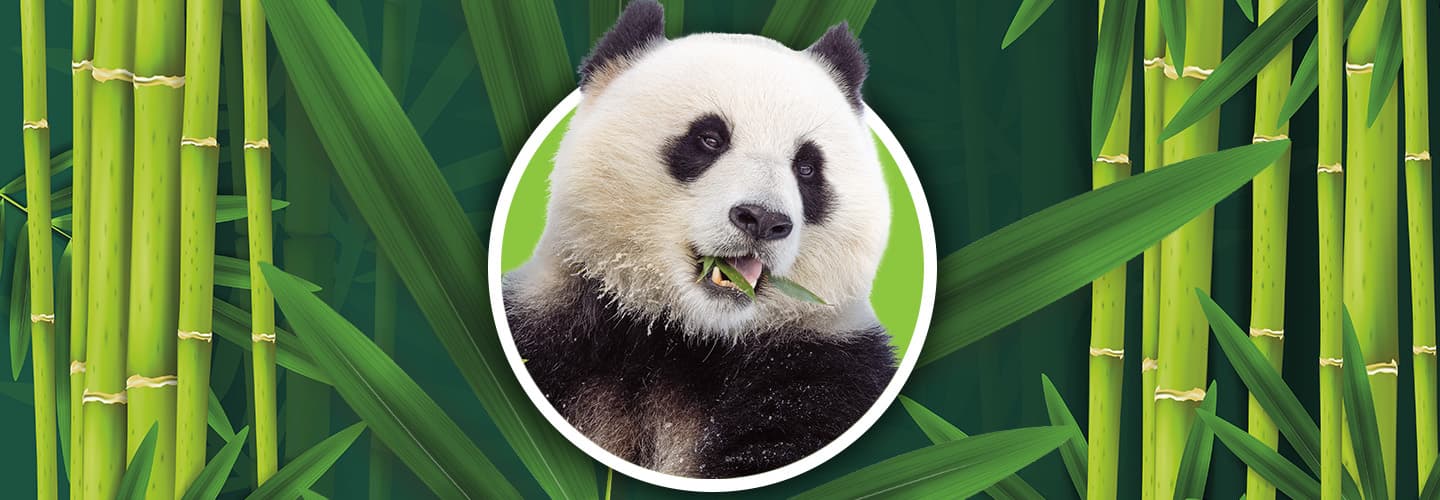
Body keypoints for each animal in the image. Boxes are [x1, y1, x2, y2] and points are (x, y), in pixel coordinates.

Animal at [503, 0, 895, 479]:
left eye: (807, 168)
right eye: (709, 139)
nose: (762, 220)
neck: (687, 337)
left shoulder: (829, 369)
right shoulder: (552, 333)